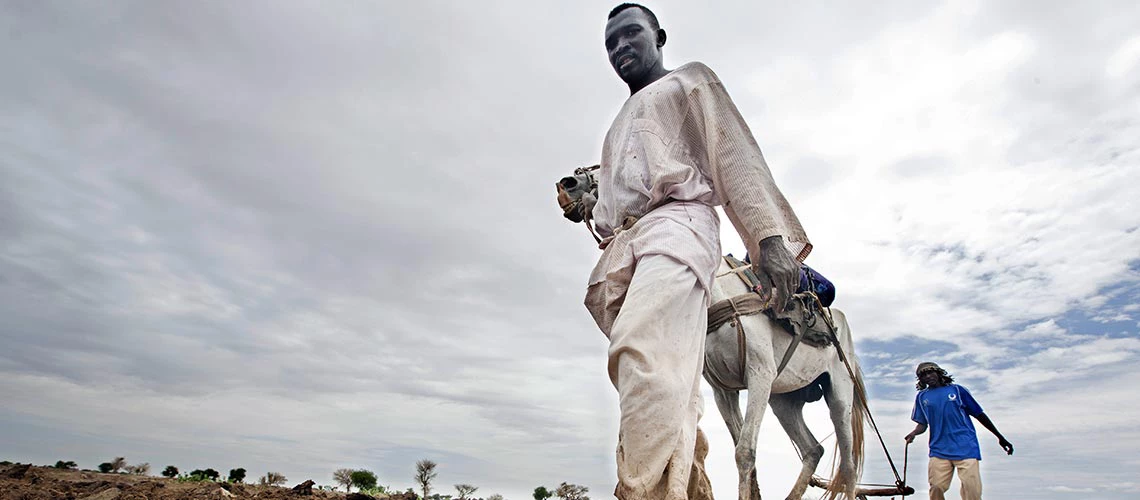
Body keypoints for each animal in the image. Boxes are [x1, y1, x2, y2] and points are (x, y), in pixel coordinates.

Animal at [697, 258, 866, 500]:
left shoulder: (760, 375)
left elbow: (745, 451)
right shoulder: (723, 391)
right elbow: (741, 447)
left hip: (841, 396)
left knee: (848, 465)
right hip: (783, 400)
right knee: (813, 450)